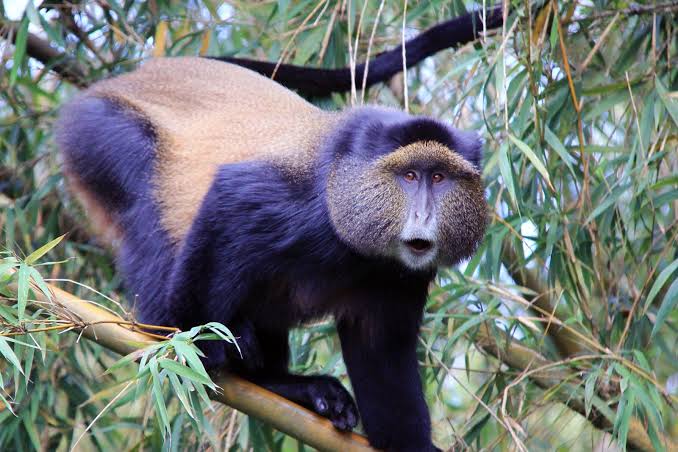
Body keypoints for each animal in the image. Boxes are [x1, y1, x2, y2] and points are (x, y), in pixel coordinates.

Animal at [56, 57, 487, 451]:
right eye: (409, 176)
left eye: (439, 177)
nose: (422, 214)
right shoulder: (299, 206)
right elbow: (229, 199)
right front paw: (197, 343)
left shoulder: (404, 277)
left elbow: (381, 353)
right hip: (98, 133)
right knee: (146, 208)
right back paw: (175, 336)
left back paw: (285, 385)